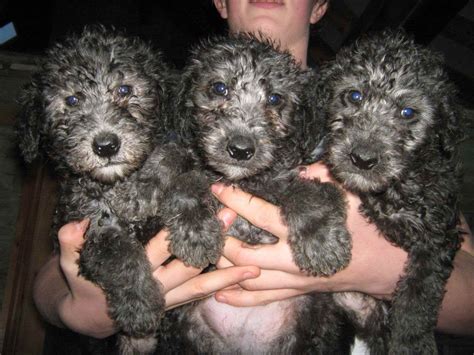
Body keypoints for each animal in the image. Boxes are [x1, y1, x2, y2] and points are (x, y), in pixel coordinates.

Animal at [16, 26, 220, 354]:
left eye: (125, 90)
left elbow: (185, 178)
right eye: (71, 100)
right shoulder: (89, 228)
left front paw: (196, 234)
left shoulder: (191, 160)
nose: (106, 145)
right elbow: (120, 255)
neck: (119, 181)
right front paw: (140, 305)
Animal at [151, 34, 352, 354]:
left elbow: (306, 194)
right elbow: (186, 183)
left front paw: (322, 242)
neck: (243, 181)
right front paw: (195, 233)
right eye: (219, 88)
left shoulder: (299, 178)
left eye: (275, 99)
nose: (241, 149)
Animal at [318, 30, 462, 355]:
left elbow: (420, 292)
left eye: (407, 112)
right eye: (354, 96)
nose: (362, 159)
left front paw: (411, 340)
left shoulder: (437, 234)